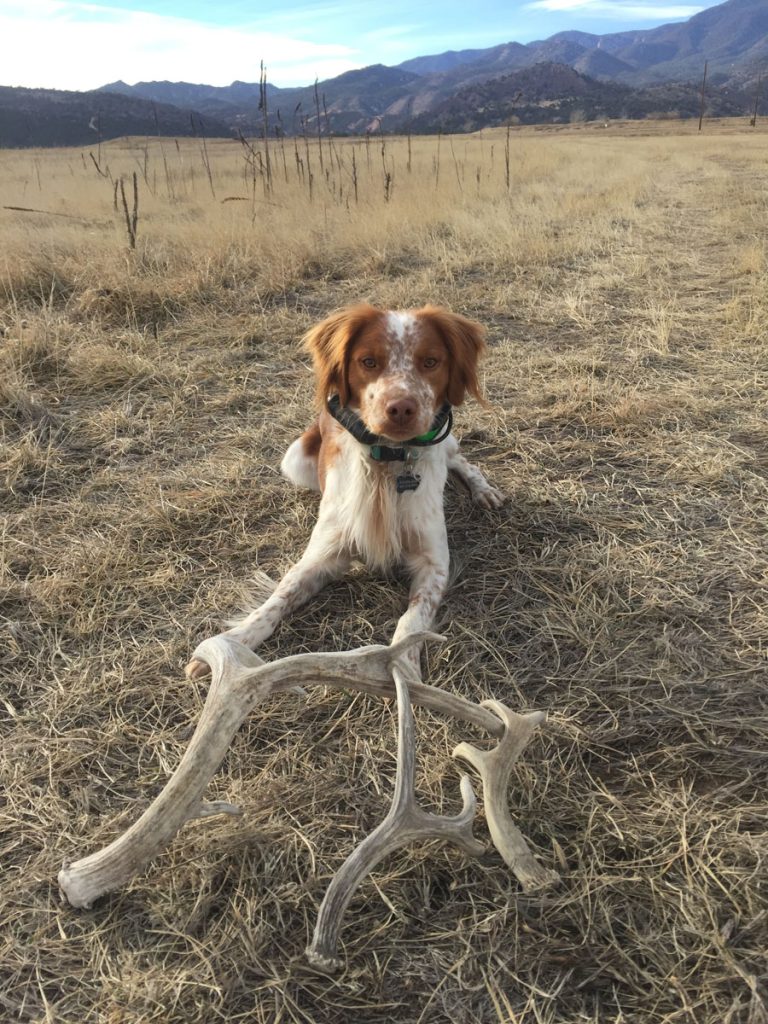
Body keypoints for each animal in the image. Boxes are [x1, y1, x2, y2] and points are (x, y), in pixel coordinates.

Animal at [185, 303, 505, 679]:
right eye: (368, 361)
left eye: (430, 361)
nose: (401, 408)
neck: (386, 464)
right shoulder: (319, 556)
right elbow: (277, 599)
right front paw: (233, 642)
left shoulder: (434, 563)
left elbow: (411, 620)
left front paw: (404, 668)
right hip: (294, 460)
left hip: (445, 443)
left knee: (464, 463)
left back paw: (484, 491)